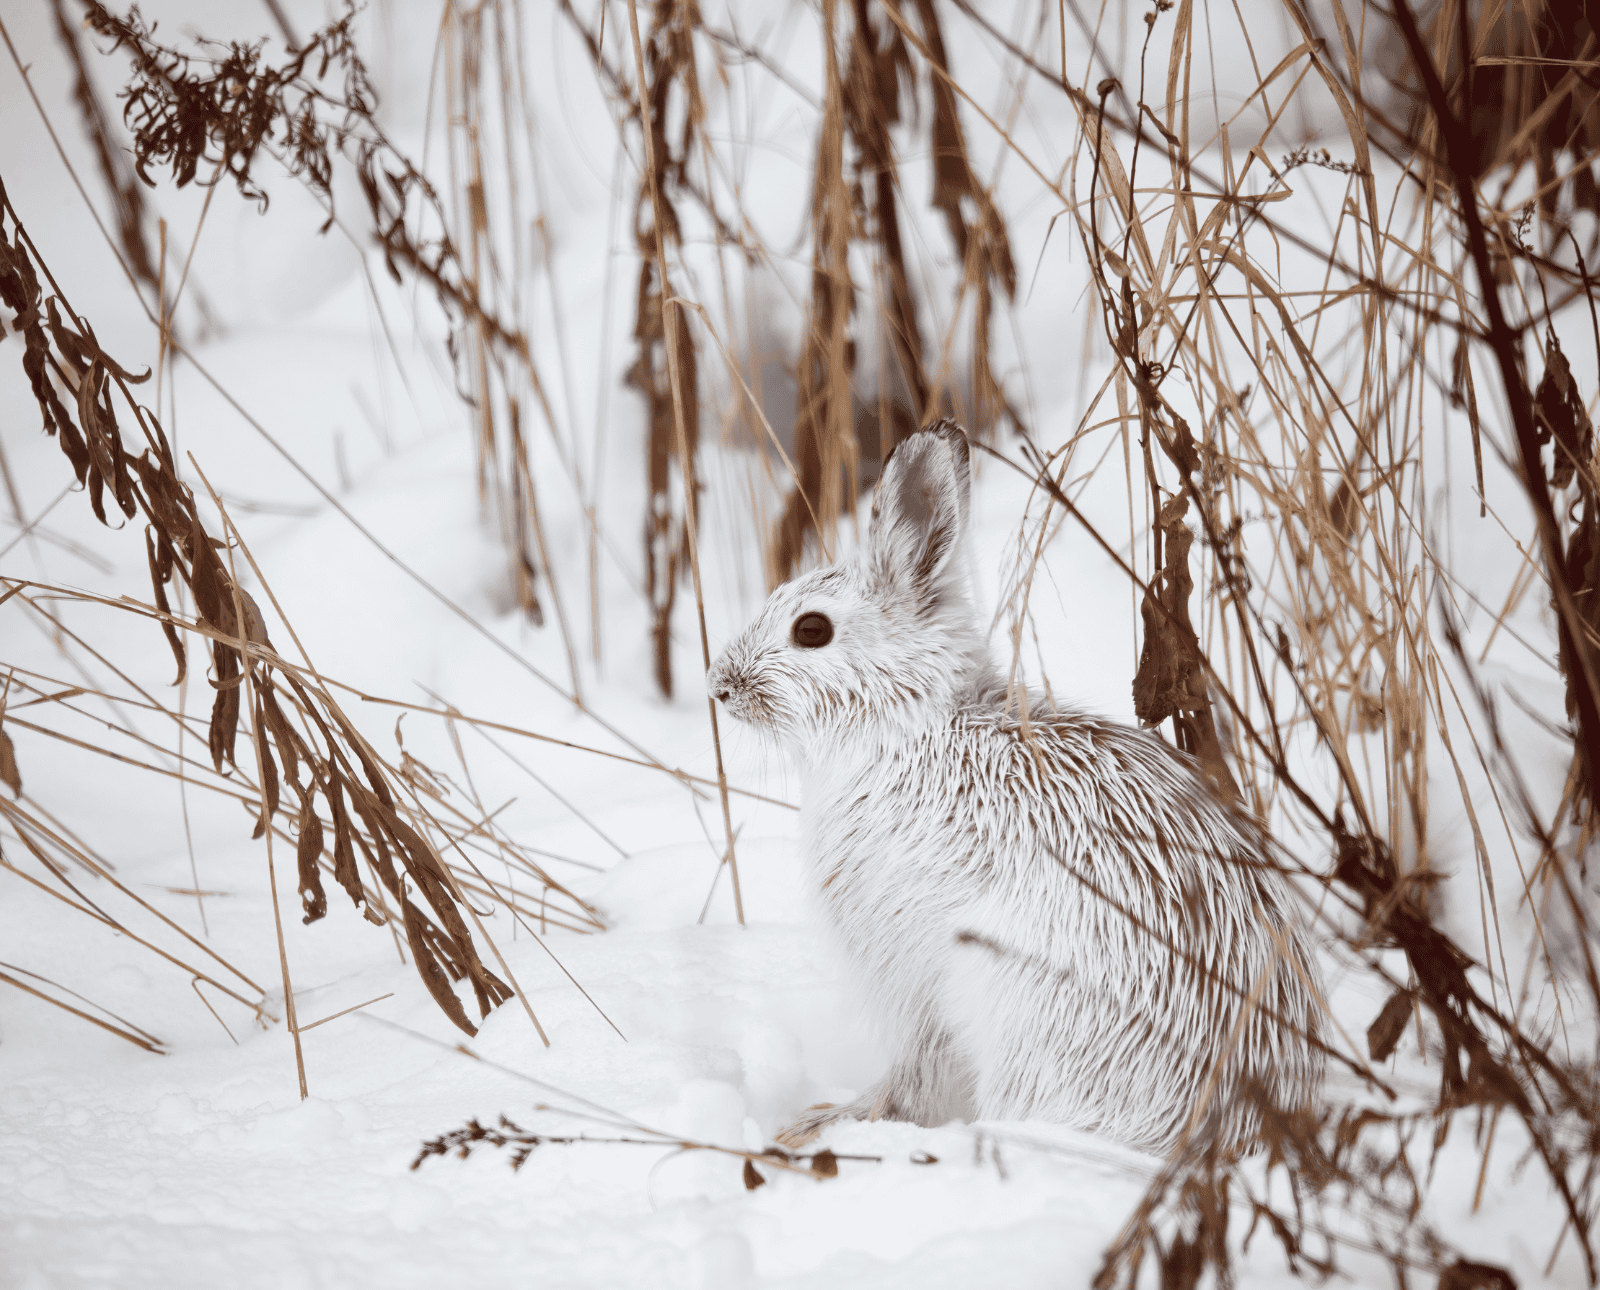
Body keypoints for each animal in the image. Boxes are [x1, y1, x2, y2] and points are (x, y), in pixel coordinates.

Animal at [707, 420, 1322, 1154]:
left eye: (811, 630)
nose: (719, 686)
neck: (908, 723)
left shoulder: (910, 968)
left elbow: (914, 1071)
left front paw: (834, 1122)